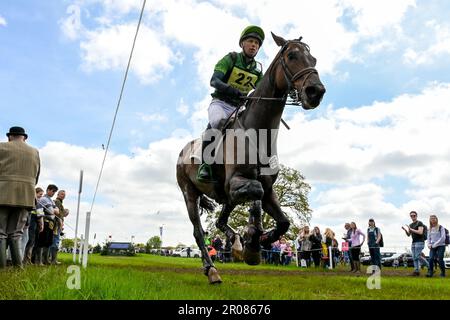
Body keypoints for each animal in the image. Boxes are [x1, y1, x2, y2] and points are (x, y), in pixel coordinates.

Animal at [175, 31, 324, 282]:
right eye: (292, 56)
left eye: (313, 59)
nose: (316, 92)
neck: (258, 133)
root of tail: (183, 151)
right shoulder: (237, 182)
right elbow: (256, 192)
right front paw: (252, 240)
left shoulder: (268, 188)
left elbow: (283, 222)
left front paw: (256, 243)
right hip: (189, 193)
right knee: (198, 231)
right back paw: (212, 269)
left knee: (222, 217)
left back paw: (235, 242)